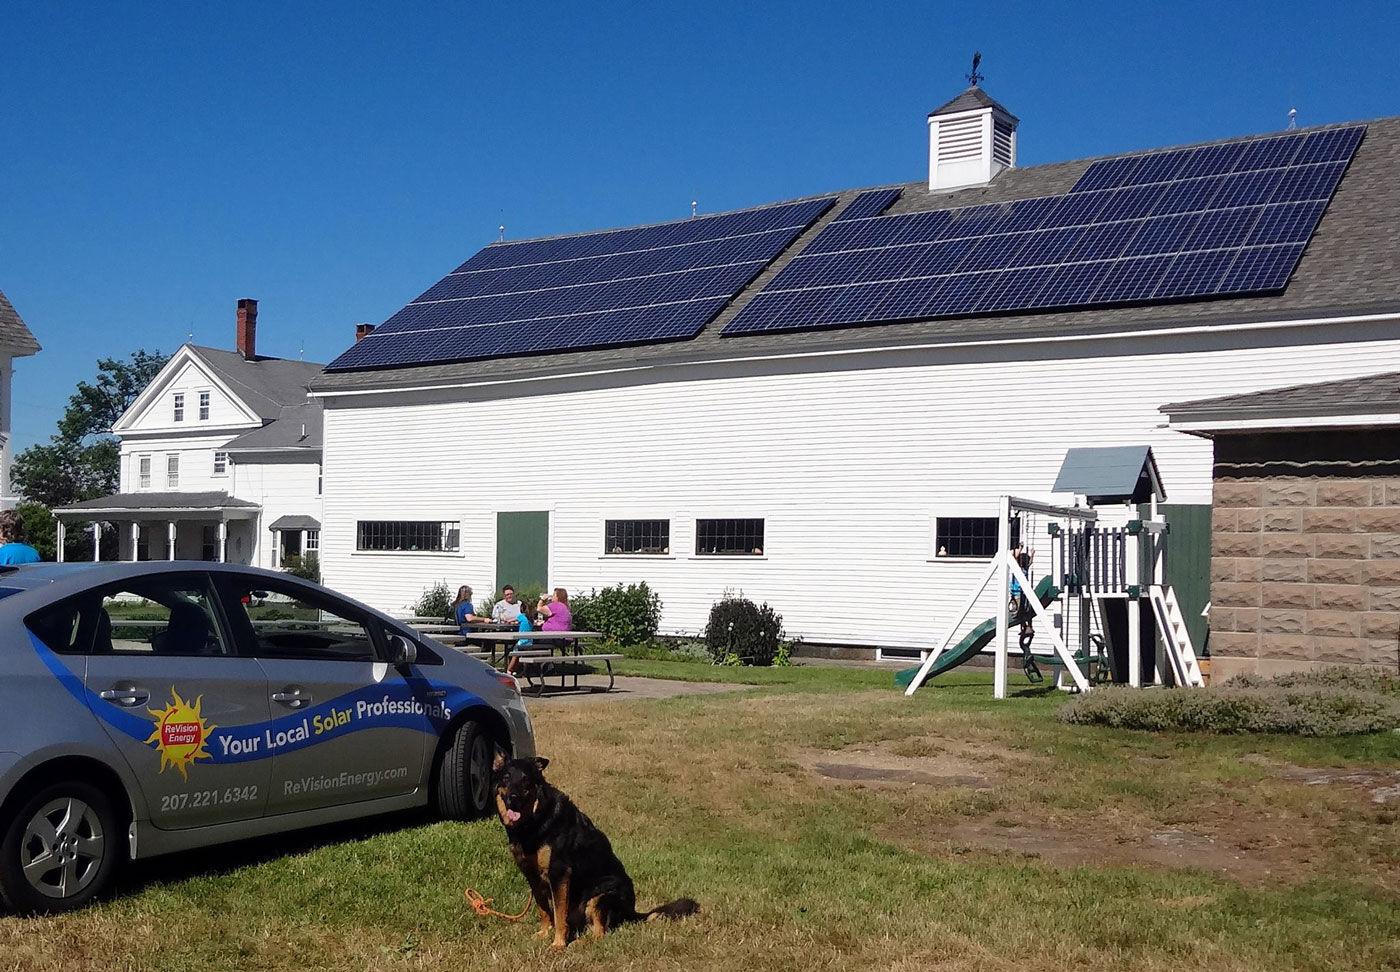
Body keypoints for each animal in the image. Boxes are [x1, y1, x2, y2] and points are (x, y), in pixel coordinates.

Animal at [492, 756, 700, 952]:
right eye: (506, 777)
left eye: (525, 780)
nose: (512, 798)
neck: (535, 819)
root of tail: (631, 912)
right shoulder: (532, 876)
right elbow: (544, 910)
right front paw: (544, 933)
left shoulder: (559, 874)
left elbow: (559, 915)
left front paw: (558, 944)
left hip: (600, 897)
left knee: (600, 933)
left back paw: (579, 943)